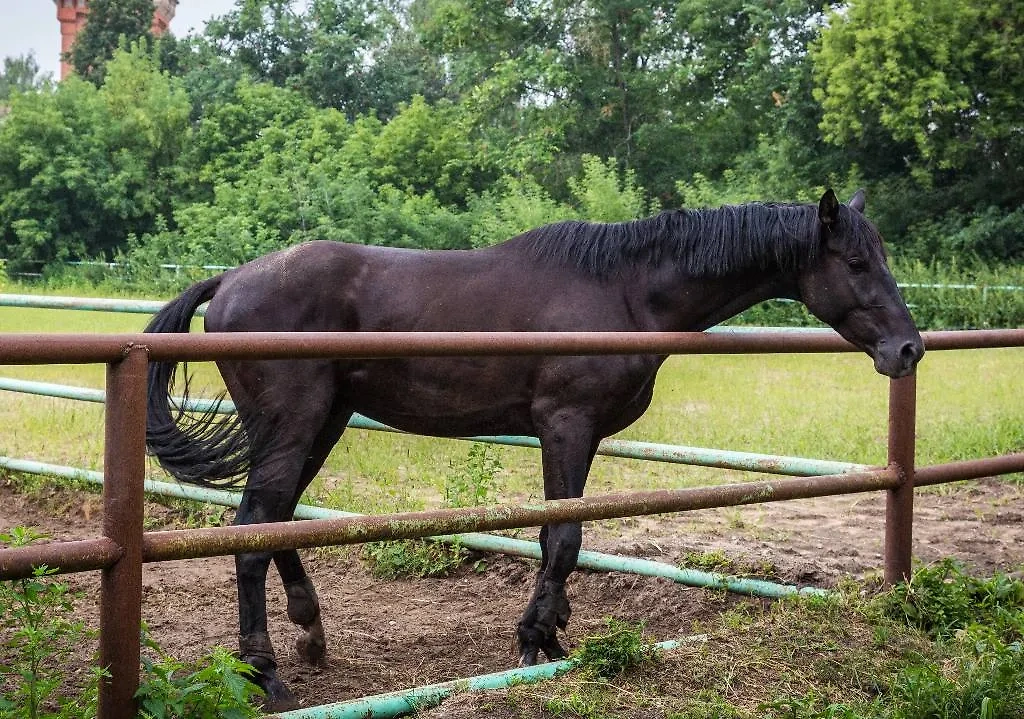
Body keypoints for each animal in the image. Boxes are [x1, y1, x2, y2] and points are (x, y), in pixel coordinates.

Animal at [142, 188, 921, 712]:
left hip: (322, 423)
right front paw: (533, 640)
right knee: (251, 529)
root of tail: (231, 280)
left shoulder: (575, 435)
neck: (626, 292)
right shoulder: (566, 426)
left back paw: (310, 632)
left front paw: (551, 635)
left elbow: (554, 536)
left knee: (272, 521)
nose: (908, 348)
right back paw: (266, 673)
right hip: (296, 425)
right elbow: (565, 536)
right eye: (856, 261)